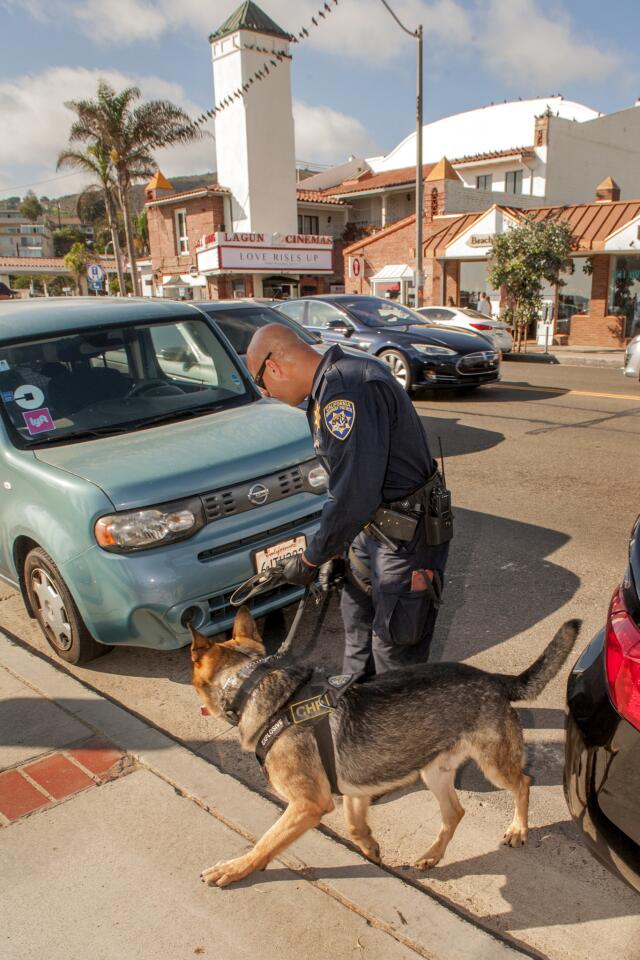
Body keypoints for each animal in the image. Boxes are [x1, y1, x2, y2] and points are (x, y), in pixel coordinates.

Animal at [190, 612, 580, 888]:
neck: (251, 684)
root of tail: (494, 678)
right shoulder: (351, 790)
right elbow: (353, 825)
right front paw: (369, 847)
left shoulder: (307, 804)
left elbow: (265, 844)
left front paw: (234, 869)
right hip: (433, 772)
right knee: (455, 813)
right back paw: (432, 856)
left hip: (493, 765)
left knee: (523, 783)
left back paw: (517, 830)